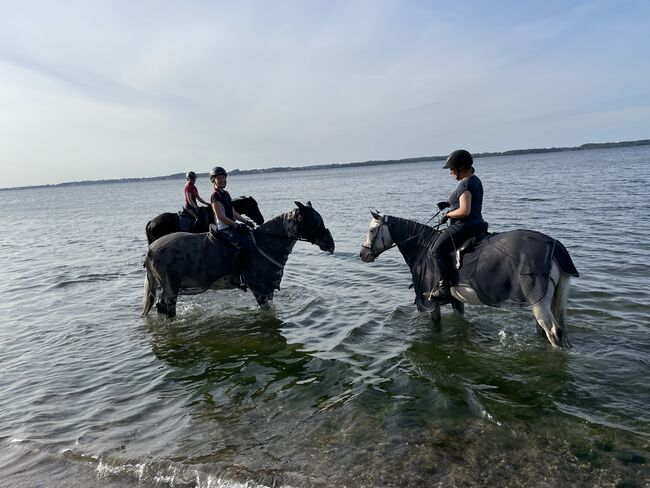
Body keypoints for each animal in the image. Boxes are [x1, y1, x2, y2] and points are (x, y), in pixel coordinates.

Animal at [142, 201, 334, 318]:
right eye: (314, 223)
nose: (331, 245)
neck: (266, 242)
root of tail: (151, 250)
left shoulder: (268, 290)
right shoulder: (260, 289)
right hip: (171, 290)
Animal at [360, 212, 576, 348]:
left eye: (372, 231)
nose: (363, 254)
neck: (423, 247)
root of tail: (554, 246)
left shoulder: (431, 304)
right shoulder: (456, 300)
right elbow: (460, 322)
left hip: (539, 302)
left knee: (554, 332)